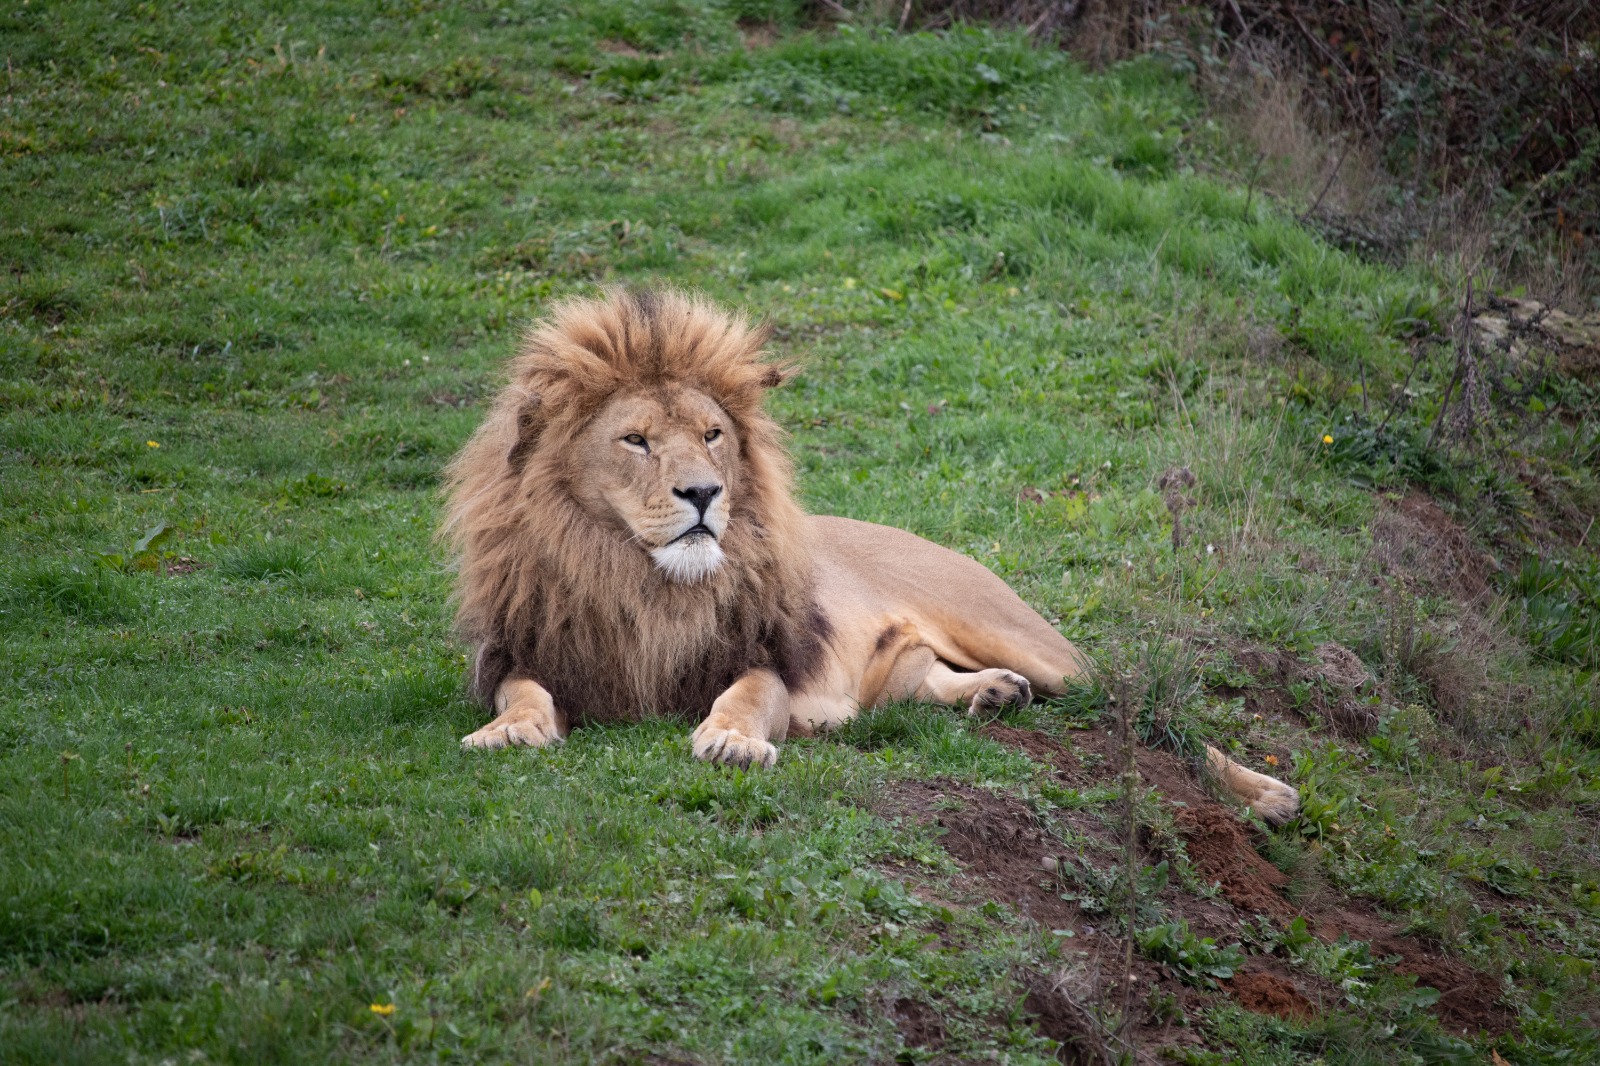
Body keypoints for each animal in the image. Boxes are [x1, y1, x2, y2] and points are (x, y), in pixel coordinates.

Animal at [441, 289, 1299, 825]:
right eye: (636, 440)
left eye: (712, 434)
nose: (704, 493)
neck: (637, 580)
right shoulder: (533, 649)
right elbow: (523, 695)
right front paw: (507, 733)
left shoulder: (765, 658)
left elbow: (743, 699)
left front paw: (731, 742)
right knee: (923, 681)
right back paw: (993, 696)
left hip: (1032, 641)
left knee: (1148, 713)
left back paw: (1267, 796)